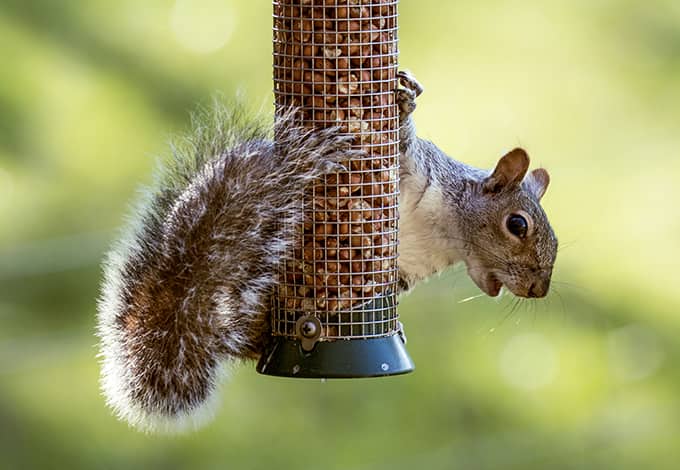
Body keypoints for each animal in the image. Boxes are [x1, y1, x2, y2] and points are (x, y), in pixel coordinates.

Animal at [98, 70, 556, 434]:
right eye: (517, 225)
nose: (539, 290)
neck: (446, 234)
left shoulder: (406, 267)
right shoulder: (412, 168)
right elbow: (401, 140)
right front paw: (405, 102)